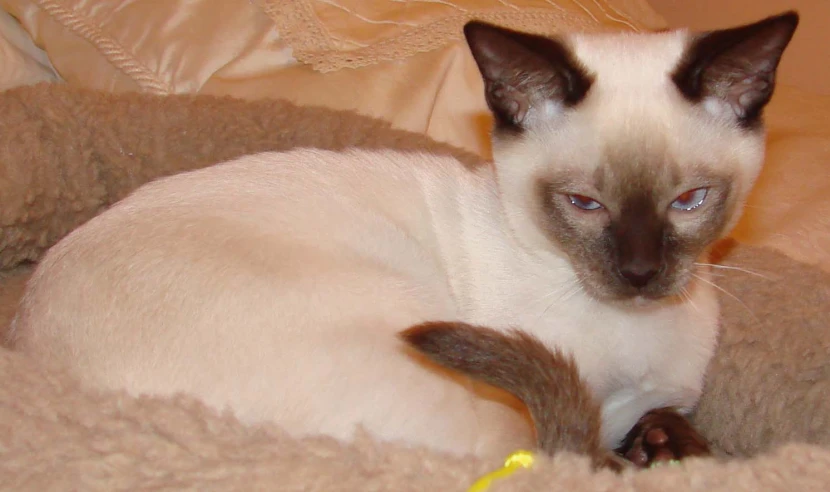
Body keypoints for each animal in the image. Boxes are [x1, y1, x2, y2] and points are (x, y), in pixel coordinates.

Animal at [9, 12, 796, 466]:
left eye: (690, 201)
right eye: (584, 203)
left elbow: (667, 429)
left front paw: (669, 447)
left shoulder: (655, 401)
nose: (639, 273)